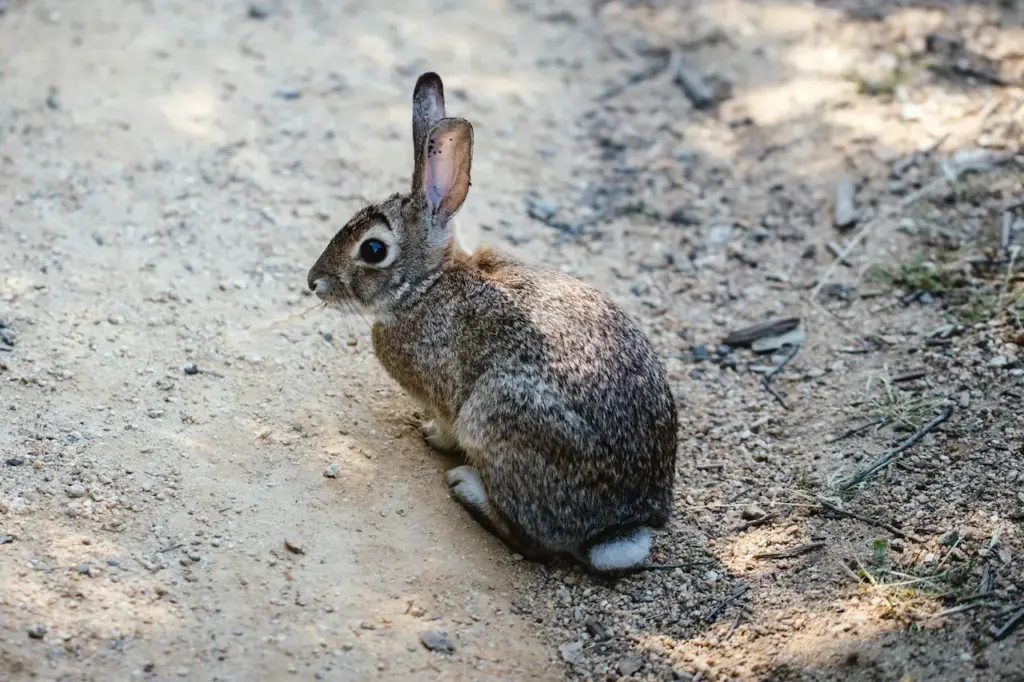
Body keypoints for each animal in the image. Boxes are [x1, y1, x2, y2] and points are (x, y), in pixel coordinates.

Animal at [311, 71, 679, 569]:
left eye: (372, 249)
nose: (313, 282)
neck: (428, 285)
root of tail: (622, 526)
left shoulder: (447, 395)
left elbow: (445, 426)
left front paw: (431, 435)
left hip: (495, 417)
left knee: (536, 541)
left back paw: (467, 486)